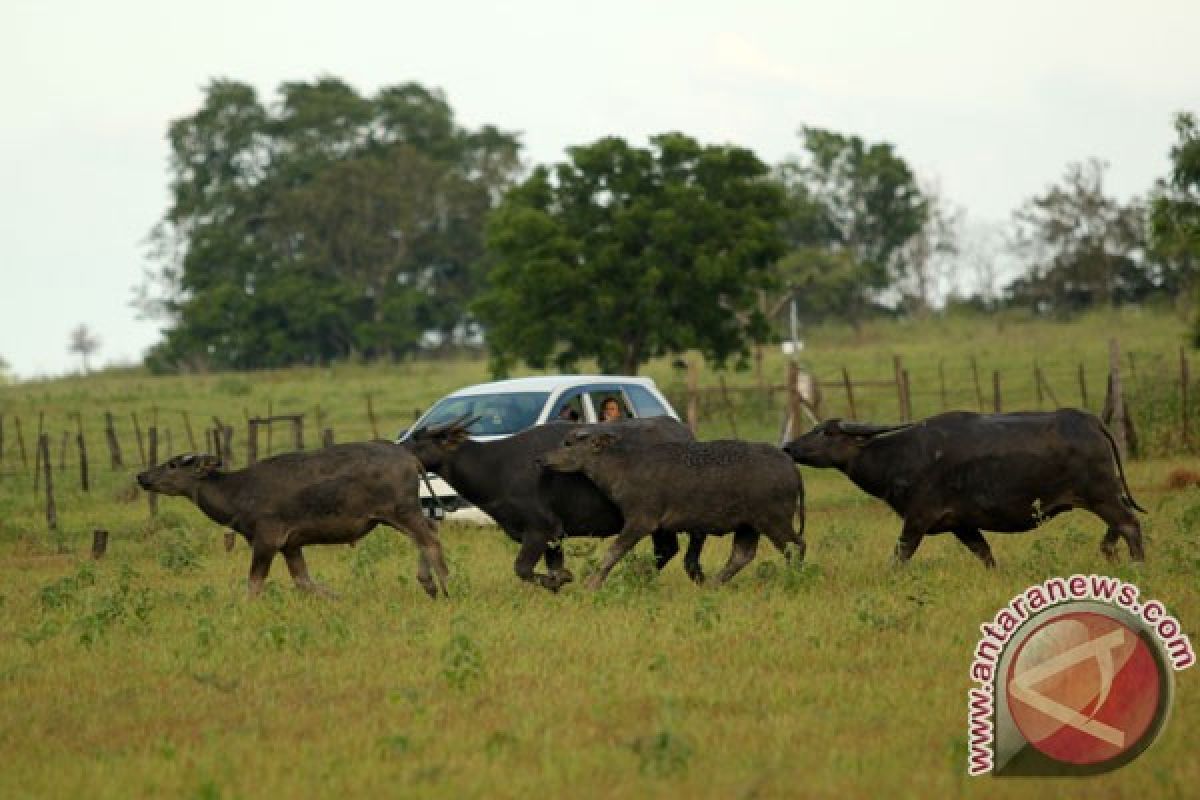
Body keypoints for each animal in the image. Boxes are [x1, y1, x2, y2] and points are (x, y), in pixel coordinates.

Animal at [132, 448, 451, 597]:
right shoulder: (290, 544)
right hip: (398, 514)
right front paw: (337, 598)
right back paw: (430, 585)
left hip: (401, 510)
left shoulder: (266, 539)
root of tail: (410, 458)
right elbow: (304, 581)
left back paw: (446, 586)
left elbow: (254, 585)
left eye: (173, 464)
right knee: (429, 532)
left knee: (430, 539)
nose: (142, 476)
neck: (237, 495)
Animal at [403, 417, 700, 592]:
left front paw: (562, 579)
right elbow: (550, 566)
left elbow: (523, 569)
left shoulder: (540, 530)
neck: (496, 468)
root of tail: (686, 434)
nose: (397, 449)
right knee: (667, 549)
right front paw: (559, 582)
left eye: (420, 441)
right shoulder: (554, 537)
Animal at [542, 434, 806, 592]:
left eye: (568, 443)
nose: (541, 458)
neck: (623, 467)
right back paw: (712, 585)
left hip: (774, 520)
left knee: (796, 546)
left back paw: (794, 579)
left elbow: (613, 553)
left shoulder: (641, 521)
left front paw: (591, 584)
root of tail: (792, 467)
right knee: (742, 555)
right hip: (748, 525)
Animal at [782, 407, 1147, 568]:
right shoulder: (962, 525)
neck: (902, 456)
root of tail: (1090, 421)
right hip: (1104, 495)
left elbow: (899, 556)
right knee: (1119, 525)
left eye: (828, 433)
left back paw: (1135, 563)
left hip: (1101, 494)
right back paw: (1111, 554)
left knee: (1129, 523)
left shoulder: (917, 519)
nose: (789, 447)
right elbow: (985, 554)